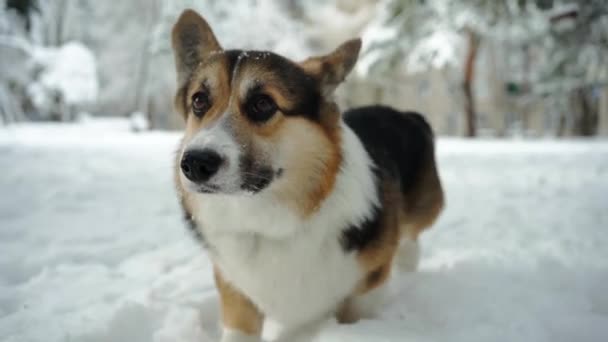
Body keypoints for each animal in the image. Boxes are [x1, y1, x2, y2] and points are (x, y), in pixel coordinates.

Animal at [172, 8, 446, 342]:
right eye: (199, 100)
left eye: (263, 104)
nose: (195, 163)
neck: (267, 223)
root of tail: (406, 113)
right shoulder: (236, 293)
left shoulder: (367, 286)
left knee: (411, 239)